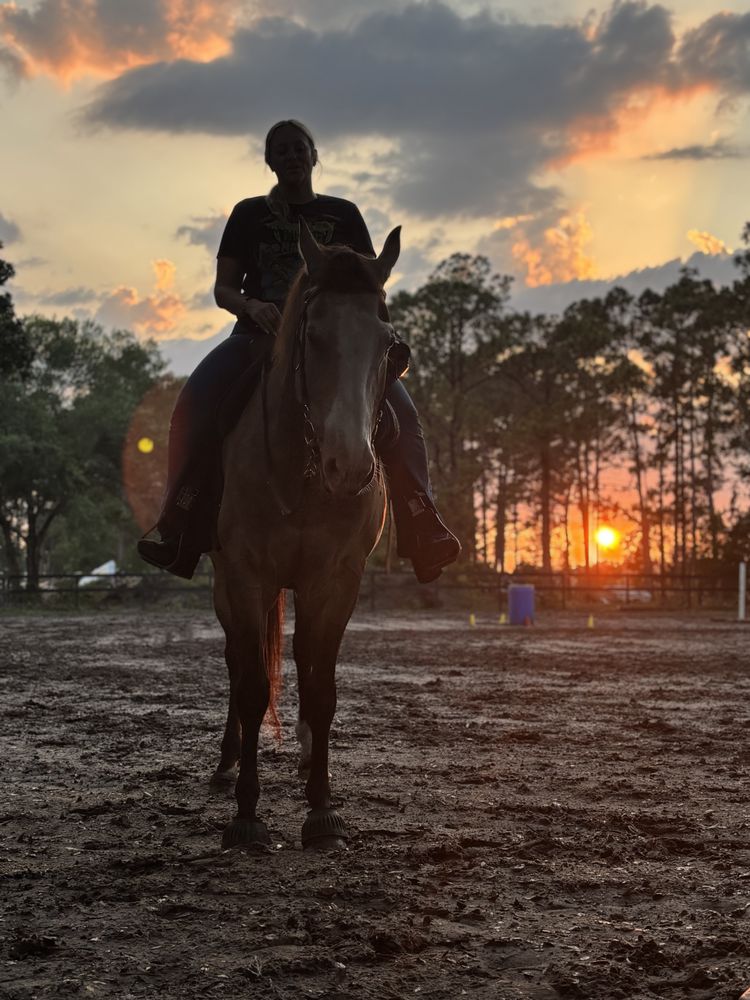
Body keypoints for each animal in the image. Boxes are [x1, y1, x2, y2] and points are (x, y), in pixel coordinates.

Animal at [209, 219, 401, 851]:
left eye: (388, 343)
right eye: (312, 336)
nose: (351, 466)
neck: (302, 468)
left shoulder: (335, 582)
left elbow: (321, 690)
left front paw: (320, 809)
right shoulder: (246, 576)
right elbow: (251, 688)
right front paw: (246, 815)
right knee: (237, 663)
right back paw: (227, 763)